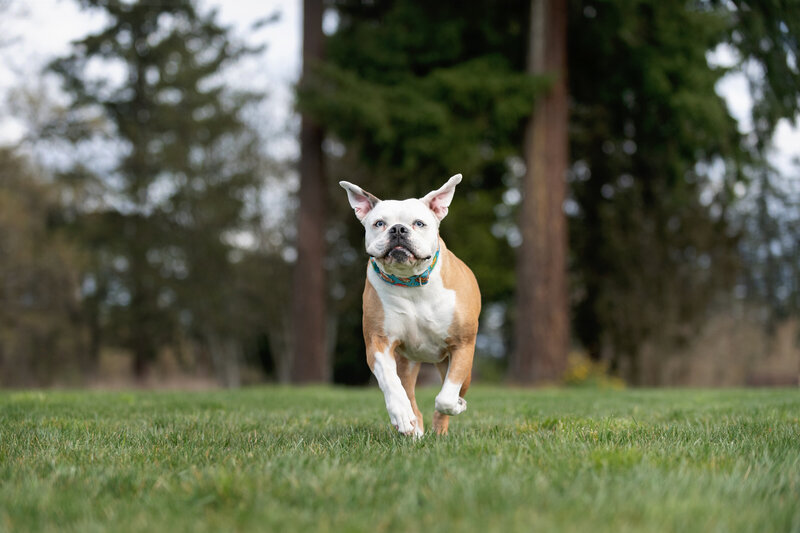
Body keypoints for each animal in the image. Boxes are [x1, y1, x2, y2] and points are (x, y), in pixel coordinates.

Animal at [340, 175, 482, 436]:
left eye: (419, 223)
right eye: (379, 223)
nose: (398, 229)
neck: (412, 283)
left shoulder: (462, 345)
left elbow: (445, 398)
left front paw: (456, 405)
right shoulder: (379, 343)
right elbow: (391, 384)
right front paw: (402, 415)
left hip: (456, 367)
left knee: (447, 397)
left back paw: (441, 428)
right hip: (406, 362)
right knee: (408, 393)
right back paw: (413, 428)